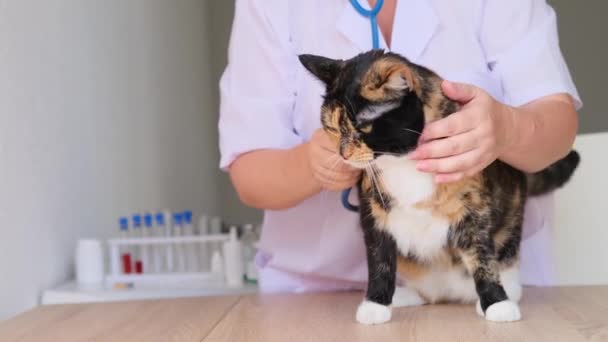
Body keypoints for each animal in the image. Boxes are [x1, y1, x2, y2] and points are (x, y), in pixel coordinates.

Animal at [300, 50, 580, 324]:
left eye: (362, 127)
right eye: (332, 128)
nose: (343, 154)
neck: (401, 161)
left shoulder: (472, 206)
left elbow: (482, 257)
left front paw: (496, 303)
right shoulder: (374, 209)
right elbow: (379, 260)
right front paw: (375, 305)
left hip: (511, 220)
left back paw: (501, 294)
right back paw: (403, 296)